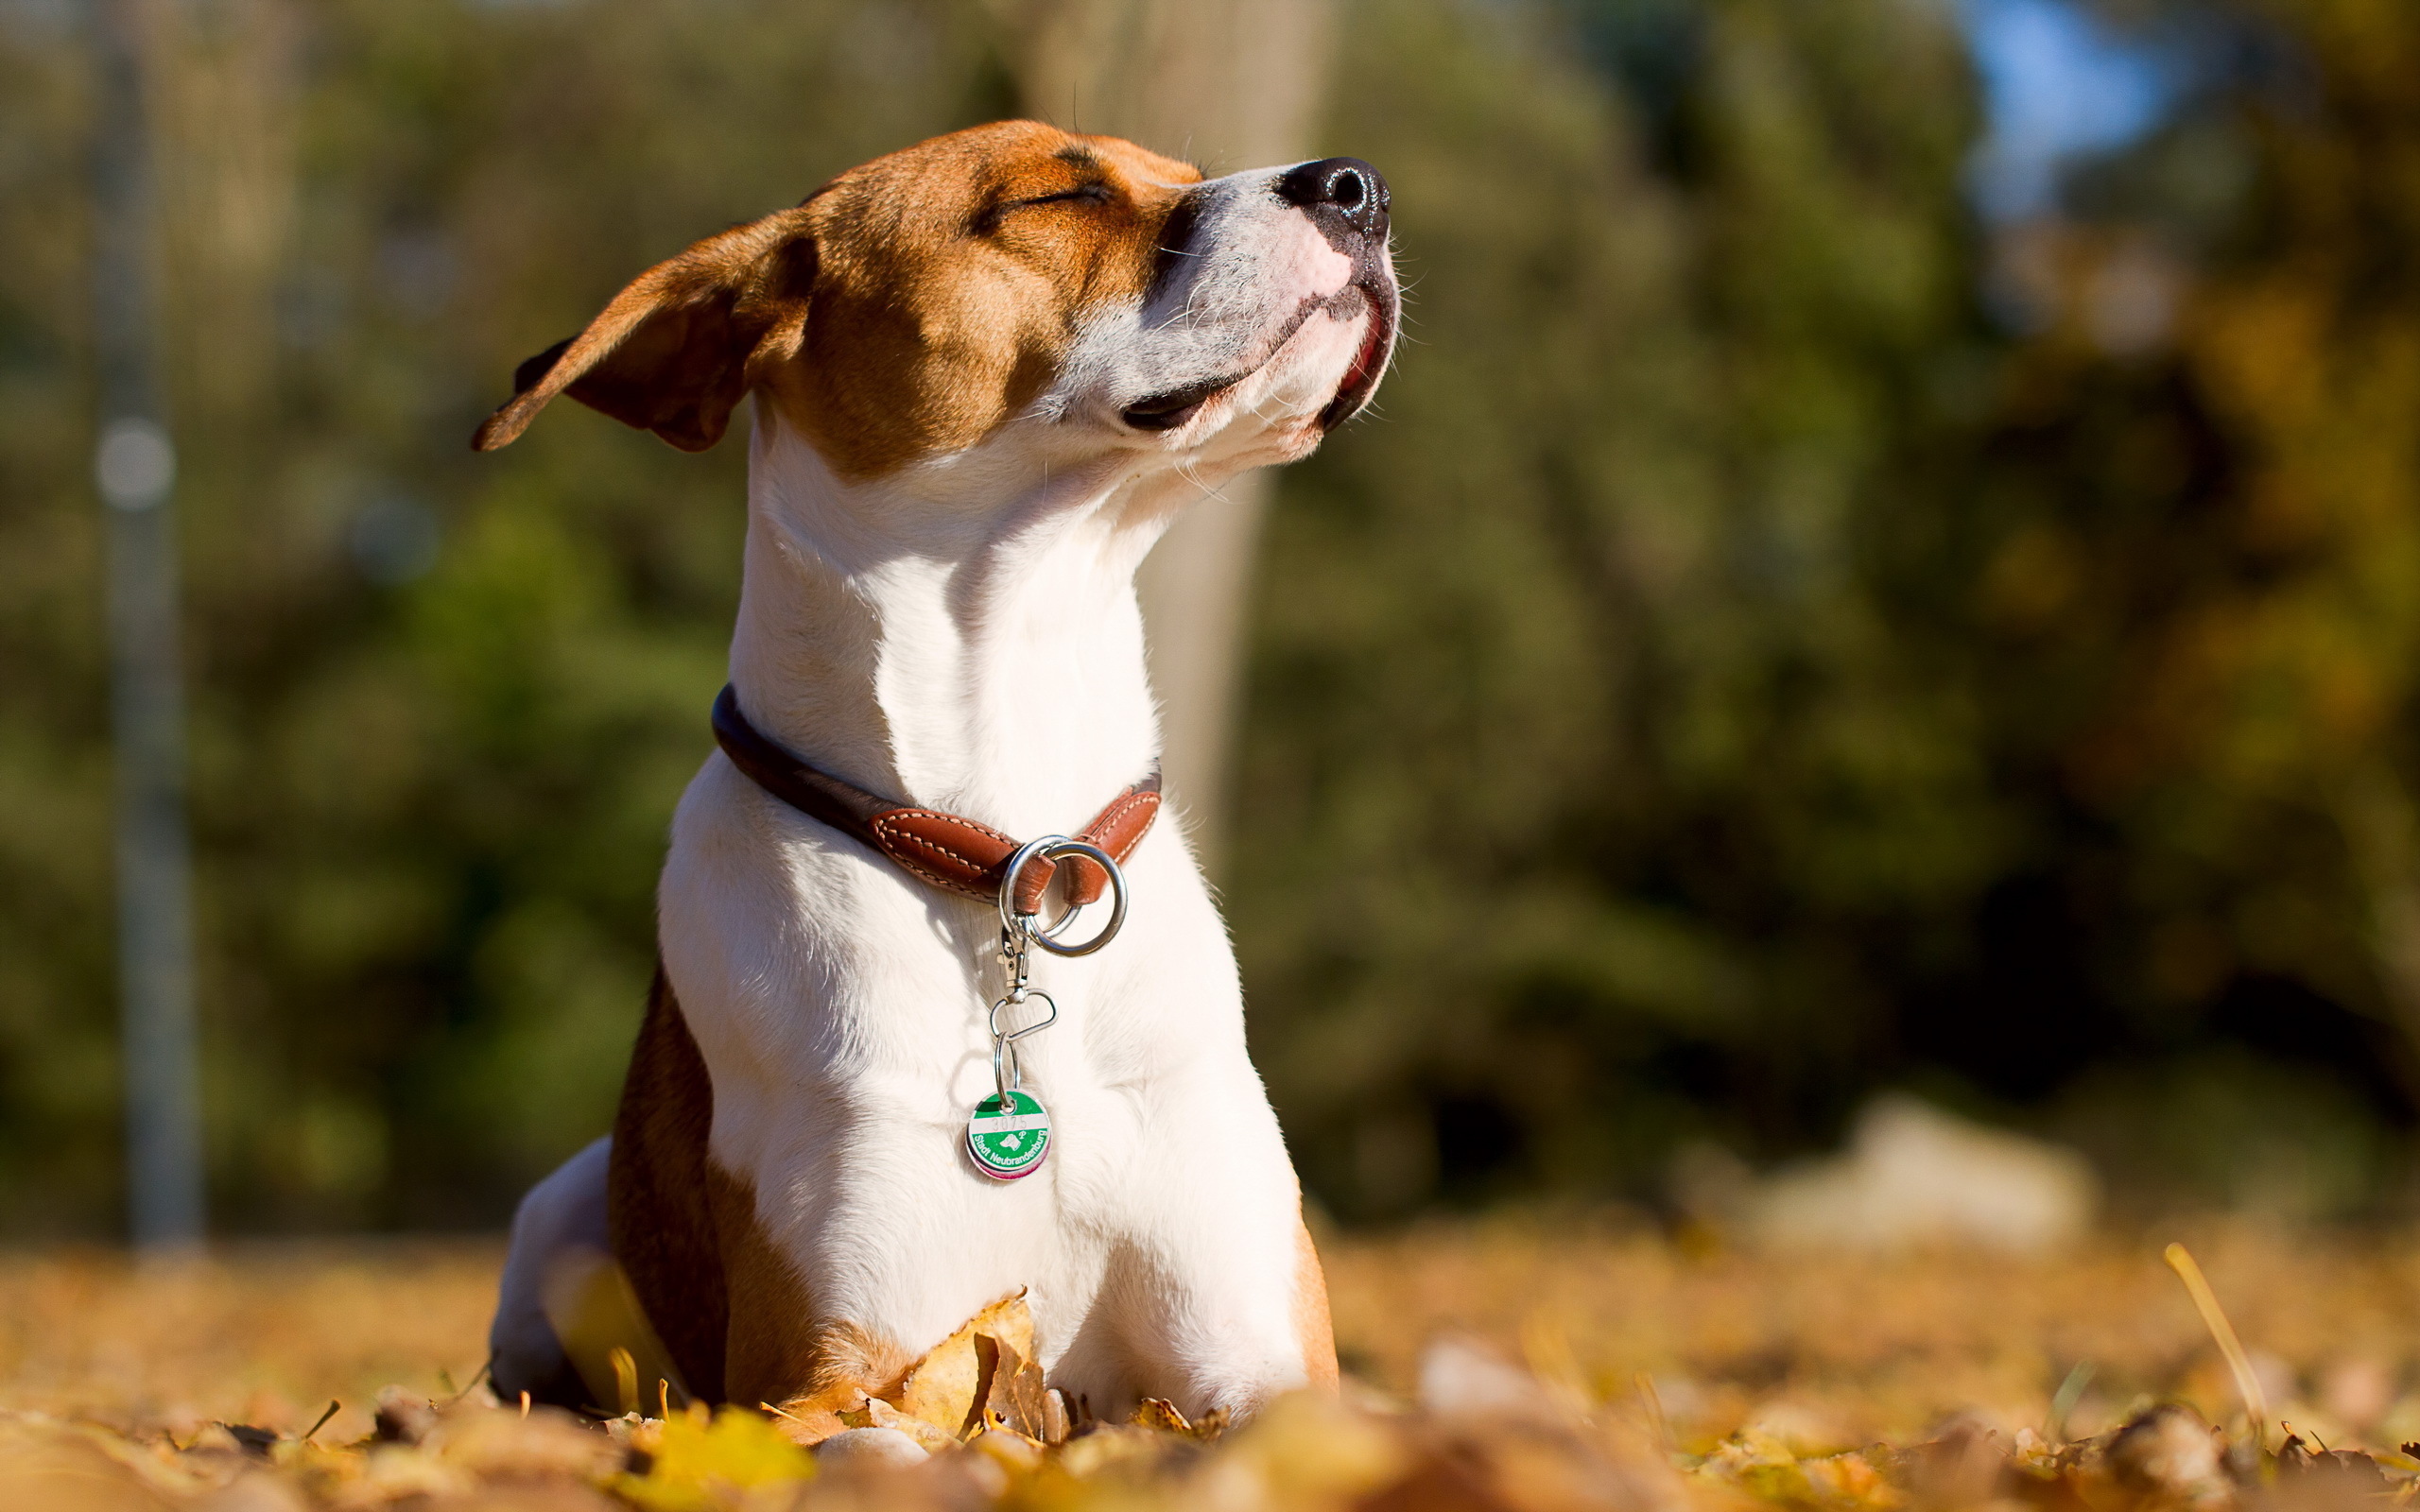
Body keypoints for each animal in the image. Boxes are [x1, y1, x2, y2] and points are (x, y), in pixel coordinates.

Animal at [474, 124, 1403, 1432]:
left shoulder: (1265, 1359)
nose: (1358, 187)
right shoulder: (828, 1375)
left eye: (1181, 169)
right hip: (557, 1220)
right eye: (1055, 192)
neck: (1008, 843)